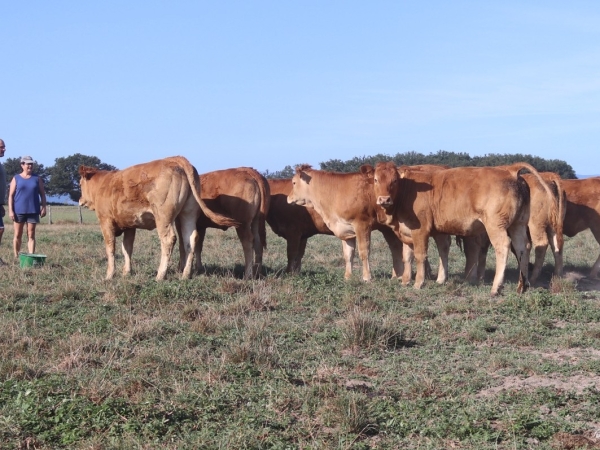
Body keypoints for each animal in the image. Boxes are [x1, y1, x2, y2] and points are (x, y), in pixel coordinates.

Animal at [78, 156, 238, 280]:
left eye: (79, 183)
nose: (79, 200)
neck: (103, 185)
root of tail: (175, 160)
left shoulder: (106, 222)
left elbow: (110, 248)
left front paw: (110, 275)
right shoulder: (130, 226)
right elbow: (127, 249)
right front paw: (126, 272)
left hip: (163, 217)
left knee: (168, 239)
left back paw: (160, 275)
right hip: (188, 214)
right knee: (190, 240)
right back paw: (185, 275)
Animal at [370, 162, 552, 296]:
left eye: (394, 180)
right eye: (376, 180)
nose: (384, 199)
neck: (409, 190)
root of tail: (510, 170)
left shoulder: (420, 230)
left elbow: (420, 256)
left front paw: (418, 282)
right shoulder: (410, 231)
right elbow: (408, 256)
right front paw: (406, 280)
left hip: (496, 226)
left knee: (503, 247)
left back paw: (496, 287)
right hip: (518, 225)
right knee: (523, 247)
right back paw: (523, 285)